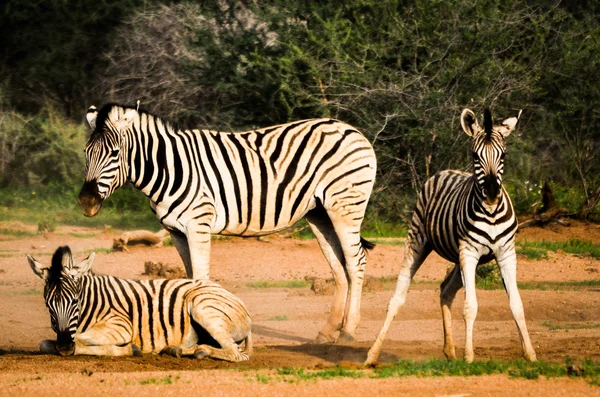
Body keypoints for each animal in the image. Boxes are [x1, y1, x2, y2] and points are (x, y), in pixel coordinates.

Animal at [27, 246, 252, 360]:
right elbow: (45, 344)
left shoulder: (120, 326)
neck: (92, 302)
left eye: (75, 301)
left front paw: (128, 349)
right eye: (48, 305)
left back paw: (198, 351)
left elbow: (80, 340)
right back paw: (179, 350)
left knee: (236, 354)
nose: (64, 347)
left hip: (203, 307)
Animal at [76, 103, 376, 342]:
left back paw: (348, 331)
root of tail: (353, 130)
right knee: (339, 267)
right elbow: (189, 279)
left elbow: (200, 278)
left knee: (356, 261)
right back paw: (328, 331)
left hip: (345, 205)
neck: (169, 169)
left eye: (115, 153)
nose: (86, 202)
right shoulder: (175, 231)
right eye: (86, 152)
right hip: (319, 213)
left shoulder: (198, 223)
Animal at [366, 106, 540, 364]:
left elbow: (517, 304)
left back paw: (449, 350)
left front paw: (530, 354)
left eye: (503, 156)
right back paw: (372, 354)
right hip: (419, 240)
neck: (490, 212)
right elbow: (470, 306)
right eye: (475, 156)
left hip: (460, 259)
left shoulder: (506, 253)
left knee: (446, 290)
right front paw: (469, 357)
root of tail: (445, 171)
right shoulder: (469, 252)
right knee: (397, 298)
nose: (491, 192)